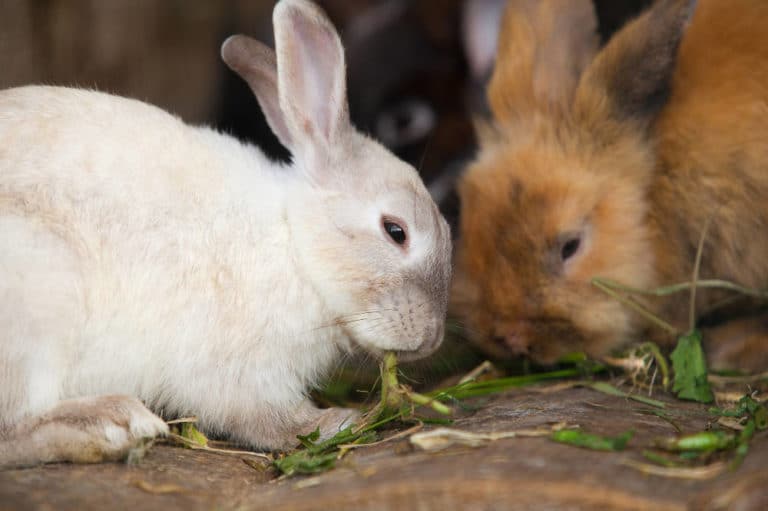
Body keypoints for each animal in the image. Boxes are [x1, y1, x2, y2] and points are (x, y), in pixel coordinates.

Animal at [0, 0, 450, 468]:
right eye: (396, 231)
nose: (431, 337)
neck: (296, 245)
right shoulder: (241, 371)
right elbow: (268, 419)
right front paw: (337, 422)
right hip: (38, 303)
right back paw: (113, 424)